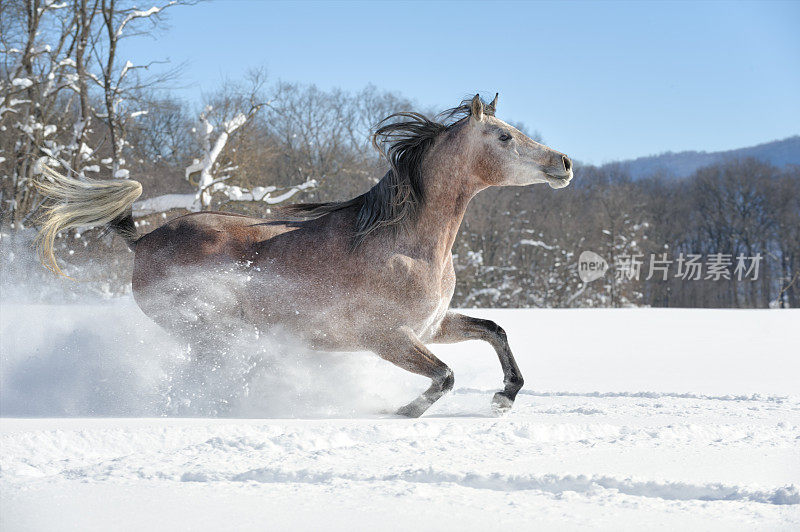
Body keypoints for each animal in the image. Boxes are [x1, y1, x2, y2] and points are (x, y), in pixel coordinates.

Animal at [34, 93, 572, 418]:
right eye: (504, 135)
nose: (564, 163)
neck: (407, 245)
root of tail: (143, 241)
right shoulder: (387, 337)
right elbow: (445, 376)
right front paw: (402, 412)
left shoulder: (431, 325)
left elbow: (495, 330)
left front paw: (504, 397)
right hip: (209, 329)